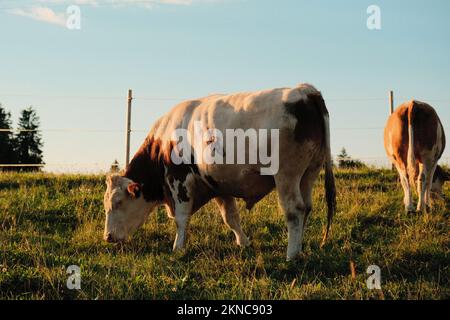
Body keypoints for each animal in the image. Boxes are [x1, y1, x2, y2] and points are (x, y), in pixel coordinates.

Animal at [102, 84, 334, 262]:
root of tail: (305, 90)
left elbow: (181, 218)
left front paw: (178, 247)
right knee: (307, 208)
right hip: (309, 173)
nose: (107, 237)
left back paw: (291, 255)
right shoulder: (219, 185)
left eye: (118, 203)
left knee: (295, 210)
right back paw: (300, 248)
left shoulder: (179, 180)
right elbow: (231, 217)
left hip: (287, 175)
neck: (163, 141)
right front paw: (243, 242)